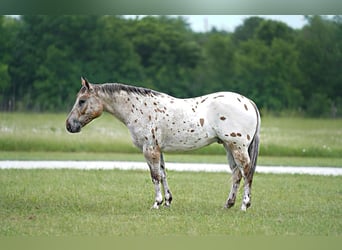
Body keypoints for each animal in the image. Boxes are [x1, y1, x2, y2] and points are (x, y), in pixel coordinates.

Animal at [66, 77, 260, 211]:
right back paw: (228, 204)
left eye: (82, 101)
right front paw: (167, 201)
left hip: (237, 147)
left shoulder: (150, 149)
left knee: (247, 172)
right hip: (228, 146)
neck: (139, 109)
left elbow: (155, 176)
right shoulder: (158, 150)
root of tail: (248, 102)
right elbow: (163, 173)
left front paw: (156, 203)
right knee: (236, 174)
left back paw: (244, 205)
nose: (69, 125)